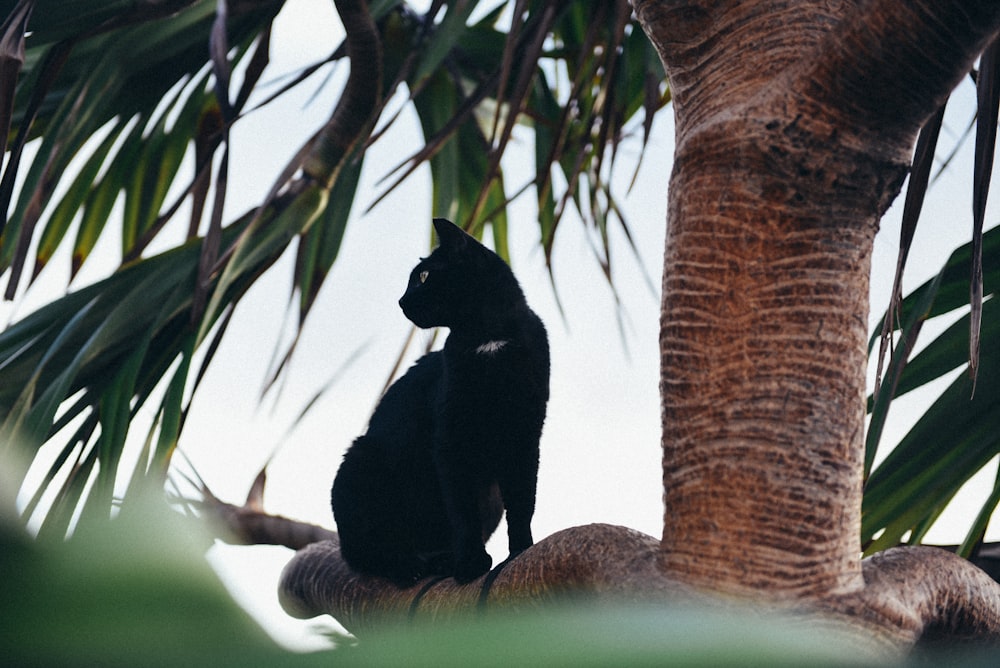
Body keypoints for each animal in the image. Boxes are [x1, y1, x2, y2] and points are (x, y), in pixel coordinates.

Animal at [330, 218, 552, 584]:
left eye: (423, 276)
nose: (401, 301)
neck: (487, 339)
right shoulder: (451, 439)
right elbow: (463, 510)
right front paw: (471, 563)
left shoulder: (524, 432)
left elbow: (523, 500)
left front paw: (520, 550)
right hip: (360, 461)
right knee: (367, 554)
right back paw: (409, 565)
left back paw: (441, 561)